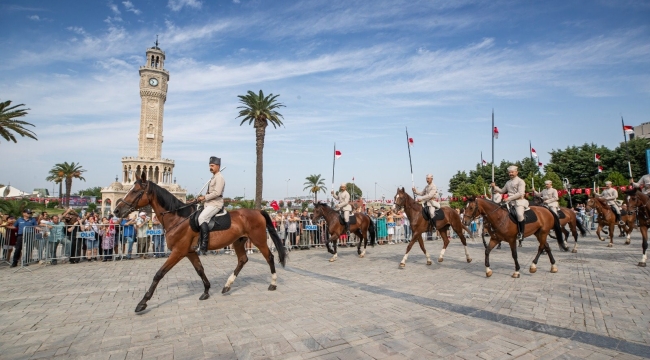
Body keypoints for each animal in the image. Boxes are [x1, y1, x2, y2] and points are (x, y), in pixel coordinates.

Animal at [112, 174, 284, 312]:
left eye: (135, 191)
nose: (116, 211)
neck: (178, 218)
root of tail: (257, 211)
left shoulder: (178, 252)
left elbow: (159, 274)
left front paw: (143, 302)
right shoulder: (189, 252)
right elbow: (200, 269)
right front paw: (206, 291)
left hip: (259, 240)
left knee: (269, 257)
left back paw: (273, 283)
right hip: (238, 242)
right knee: (243, 259)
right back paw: (227, 286)